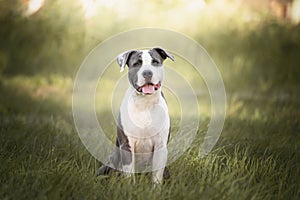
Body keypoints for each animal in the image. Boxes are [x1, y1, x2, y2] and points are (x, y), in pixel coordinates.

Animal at [97, 47, 175, 184]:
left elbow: (157, 176)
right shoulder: (127, 146)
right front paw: (130, 187)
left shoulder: (160, 146)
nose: (147, 73)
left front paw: (156, 188)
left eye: (155, 62)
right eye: (137, 64)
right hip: (109, 164)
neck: (145, 103)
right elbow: (128, 173)